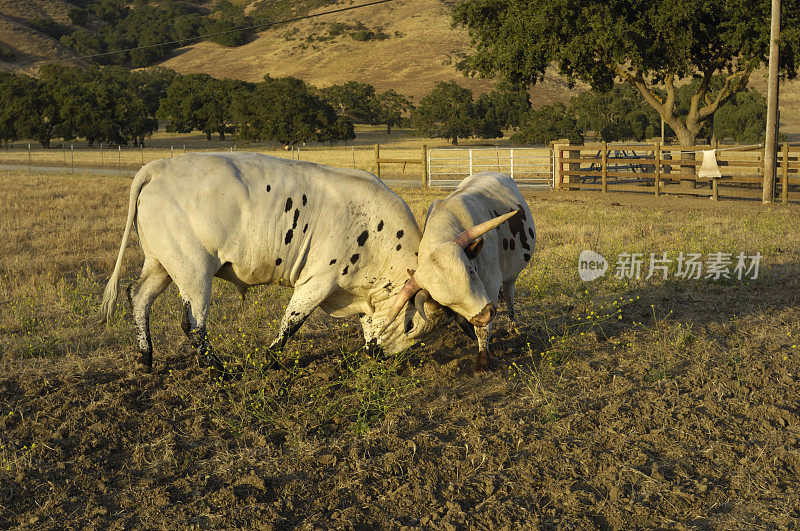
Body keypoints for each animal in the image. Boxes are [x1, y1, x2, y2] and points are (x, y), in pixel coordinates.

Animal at [100, 152, 444, 372]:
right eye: (411, 325)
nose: (381, 355)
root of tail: (158, 167)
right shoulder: (319, 280)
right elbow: (291, 322)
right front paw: (270, 360)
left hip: (162, 264)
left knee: (139, 297)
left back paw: (146, 359)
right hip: (193, 270)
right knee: (192, 324)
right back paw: (217, 369)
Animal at [380, 172, 536, 372]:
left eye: (471, 270)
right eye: (446, 302)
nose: (485, 314)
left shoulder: (491, 282)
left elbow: (483, 329)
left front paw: (483, 359)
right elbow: (466, 322)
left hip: (511, 273)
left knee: (509, 294)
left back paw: (513, 324)